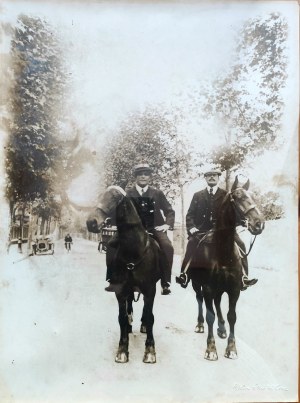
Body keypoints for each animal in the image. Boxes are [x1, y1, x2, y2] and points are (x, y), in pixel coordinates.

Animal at [86, 186, 161, 366]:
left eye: (114, 198)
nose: (91, 222)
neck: (134, 250)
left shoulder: (150, 290)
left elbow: (150, 317)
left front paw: (150, 351)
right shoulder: (120, 291)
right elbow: (121, 317)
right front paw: (122, 350)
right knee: (129, 307)